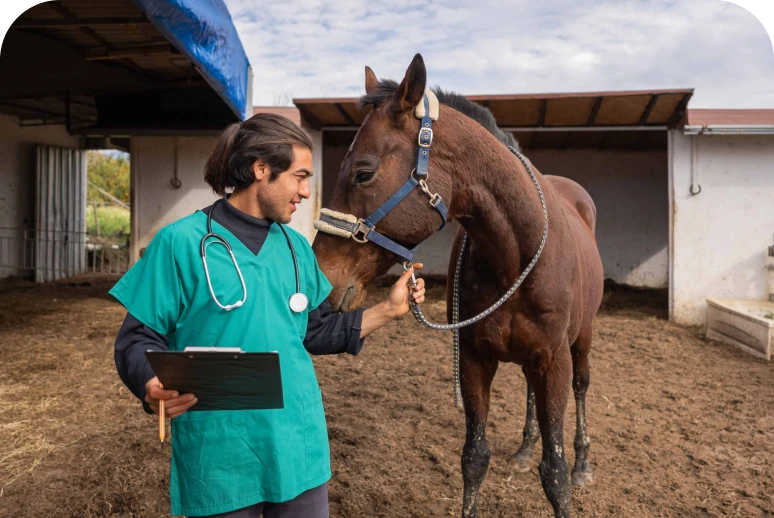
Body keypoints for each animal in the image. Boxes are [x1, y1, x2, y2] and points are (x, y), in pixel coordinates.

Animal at [311, 53, 604, 518]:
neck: (514, 257)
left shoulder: (553, 359)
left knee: (582, 387)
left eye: (362, 173)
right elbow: (474, 458)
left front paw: (567, 468)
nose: (322, 277)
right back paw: (524, 449)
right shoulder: (473, 358)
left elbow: (555, 473)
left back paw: (584, 463)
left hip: (582, 339)